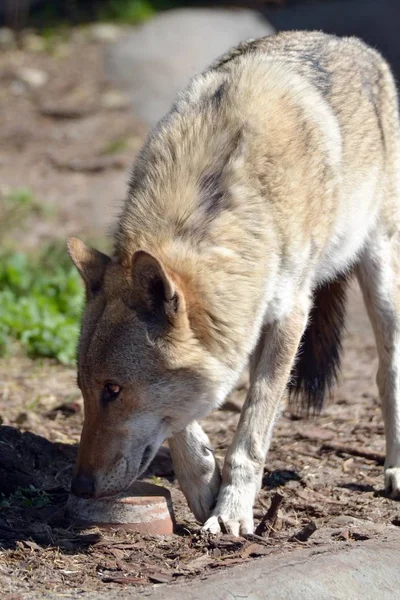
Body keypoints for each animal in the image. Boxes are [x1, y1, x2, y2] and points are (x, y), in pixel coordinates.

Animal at [67, 31, 400, 536]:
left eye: (114, 390)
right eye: (84, 390)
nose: (81, 487)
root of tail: (351, 44)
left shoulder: (289, 315)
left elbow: (252, 429)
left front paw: (232, 512)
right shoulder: (229, 328)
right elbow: (183, 417)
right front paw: (204, 485)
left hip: (379, 272)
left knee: (388, 372)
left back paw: (396, 470)